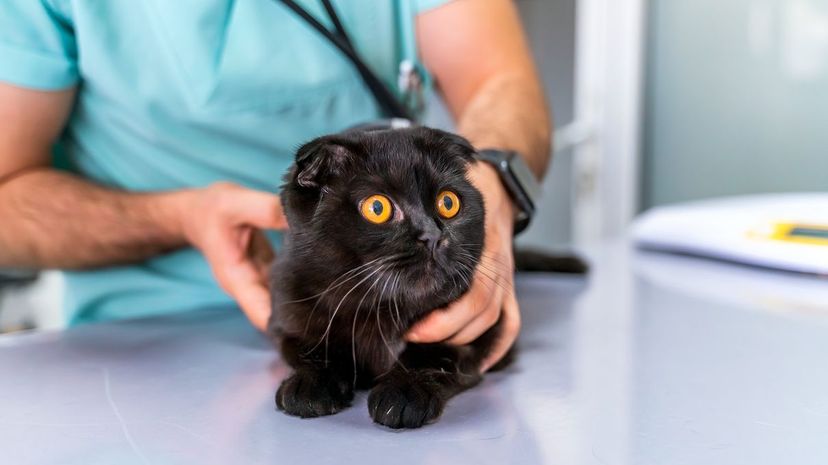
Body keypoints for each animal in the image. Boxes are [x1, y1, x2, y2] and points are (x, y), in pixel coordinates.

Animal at [268, 126, 584, 428]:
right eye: (377, 208)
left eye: (448, 202)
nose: (432, 236)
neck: (380, 311)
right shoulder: (290, 312)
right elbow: (311, 349)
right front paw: (310, 386)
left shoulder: (487, 328)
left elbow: (434, 352)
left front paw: (403, 393)